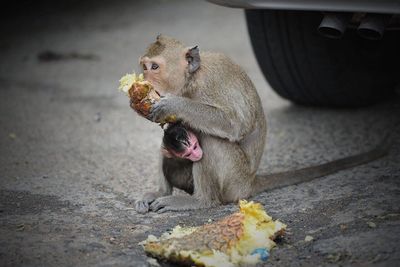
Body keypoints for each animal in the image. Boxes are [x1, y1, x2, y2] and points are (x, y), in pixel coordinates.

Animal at [134, 35, 388, 215]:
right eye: (144, 67)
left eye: (154, 68)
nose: (144, 79)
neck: (192, 80)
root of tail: (250, 182)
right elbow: (171, 130)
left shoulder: (211, 85)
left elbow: (234, 124)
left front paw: (173, 104)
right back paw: (160, 192)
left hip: (235, 179)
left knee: (211, 140)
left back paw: (201, 201)